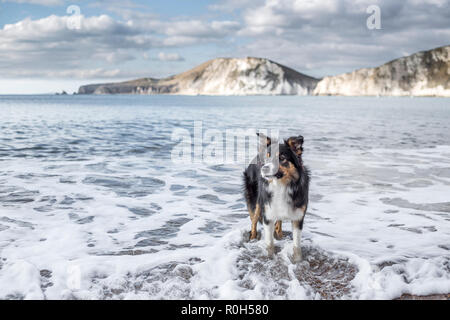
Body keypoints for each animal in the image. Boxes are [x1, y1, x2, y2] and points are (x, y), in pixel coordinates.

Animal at [243, 134, 310, 262]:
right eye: (267, 156)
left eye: (282, 158)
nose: (263, 168)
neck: (281, 185)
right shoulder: (267, 215)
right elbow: (269, 244)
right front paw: (270, 258)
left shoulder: (298, 217)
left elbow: (297, 245)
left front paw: (298, 261)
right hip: (257, 200)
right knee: (254, 219)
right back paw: (253, 237)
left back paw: (279, 234)